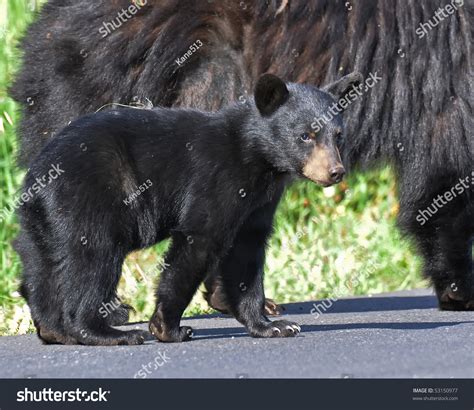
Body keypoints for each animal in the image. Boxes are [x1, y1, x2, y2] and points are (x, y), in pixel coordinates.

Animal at [16, 73, 362, 342]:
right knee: (92, 261)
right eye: (305, 135)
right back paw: (109, 332)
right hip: (87, 200)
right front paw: (167, 327)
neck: (256, 158)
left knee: (41, 270)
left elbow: (246, 252)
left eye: (338, 135)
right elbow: (200, 239)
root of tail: (36, 179)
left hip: (42, 225)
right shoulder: (216, 178)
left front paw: (272, 325)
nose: (335, 172)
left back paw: (54, 330)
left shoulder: (259, 201)